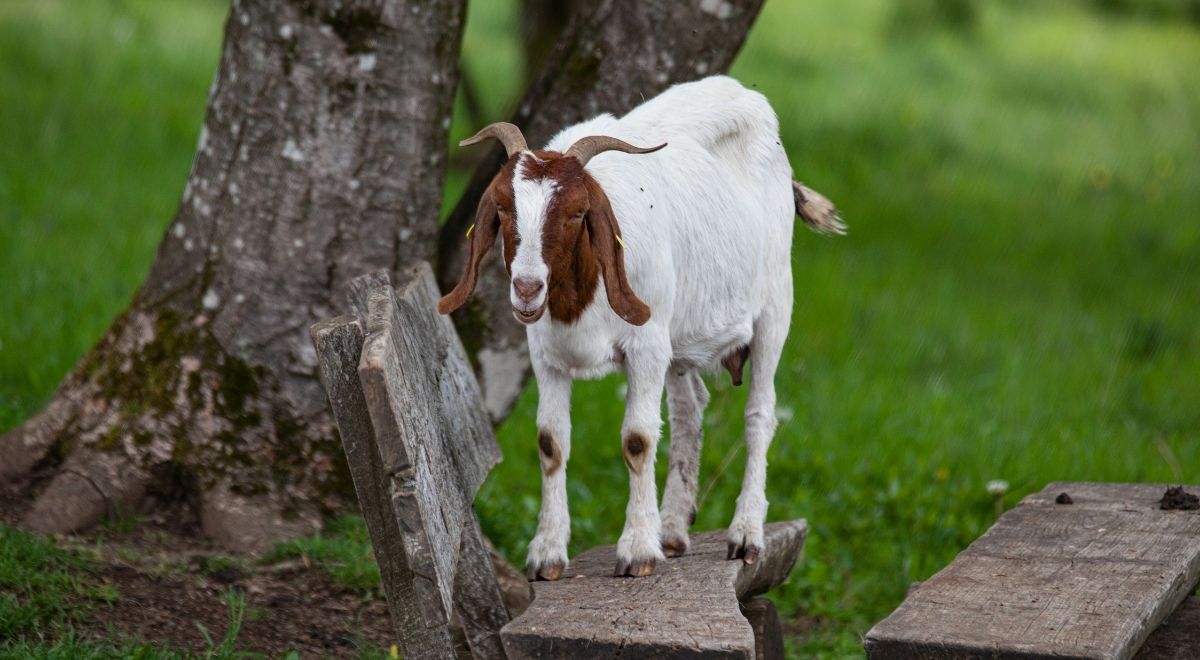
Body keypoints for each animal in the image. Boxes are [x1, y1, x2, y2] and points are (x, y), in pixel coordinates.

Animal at [441, 75, 844, 580]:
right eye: (503, 208)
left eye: (577, 213)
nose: (528, 289)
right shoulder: (545, 354)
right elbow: (551, 443)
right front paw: (547, 553)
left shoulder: (646, 347)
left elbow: (638, 438)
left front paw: (636, 551)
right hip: (680, 336)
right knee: (691, 410)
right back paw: (671, 528)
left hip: (774, 304)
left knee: (760, 413)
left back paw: (746, 535)